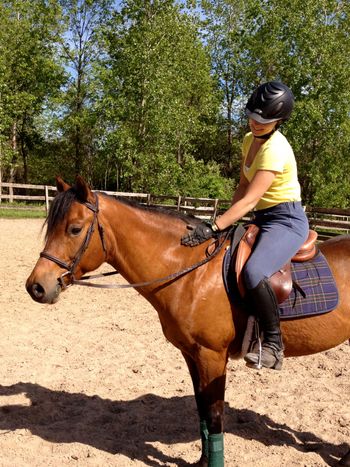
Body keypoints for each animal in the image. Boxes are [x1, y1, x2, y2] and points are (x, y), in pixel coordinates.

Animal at [26, 176, 350, 467]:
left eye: (74, 229)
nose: (36, 287)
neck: (190, 271)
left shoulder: (212, 356)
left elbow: (215, 415)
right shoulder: (191, 354)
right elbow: (202, 410)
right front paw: (202, 461)